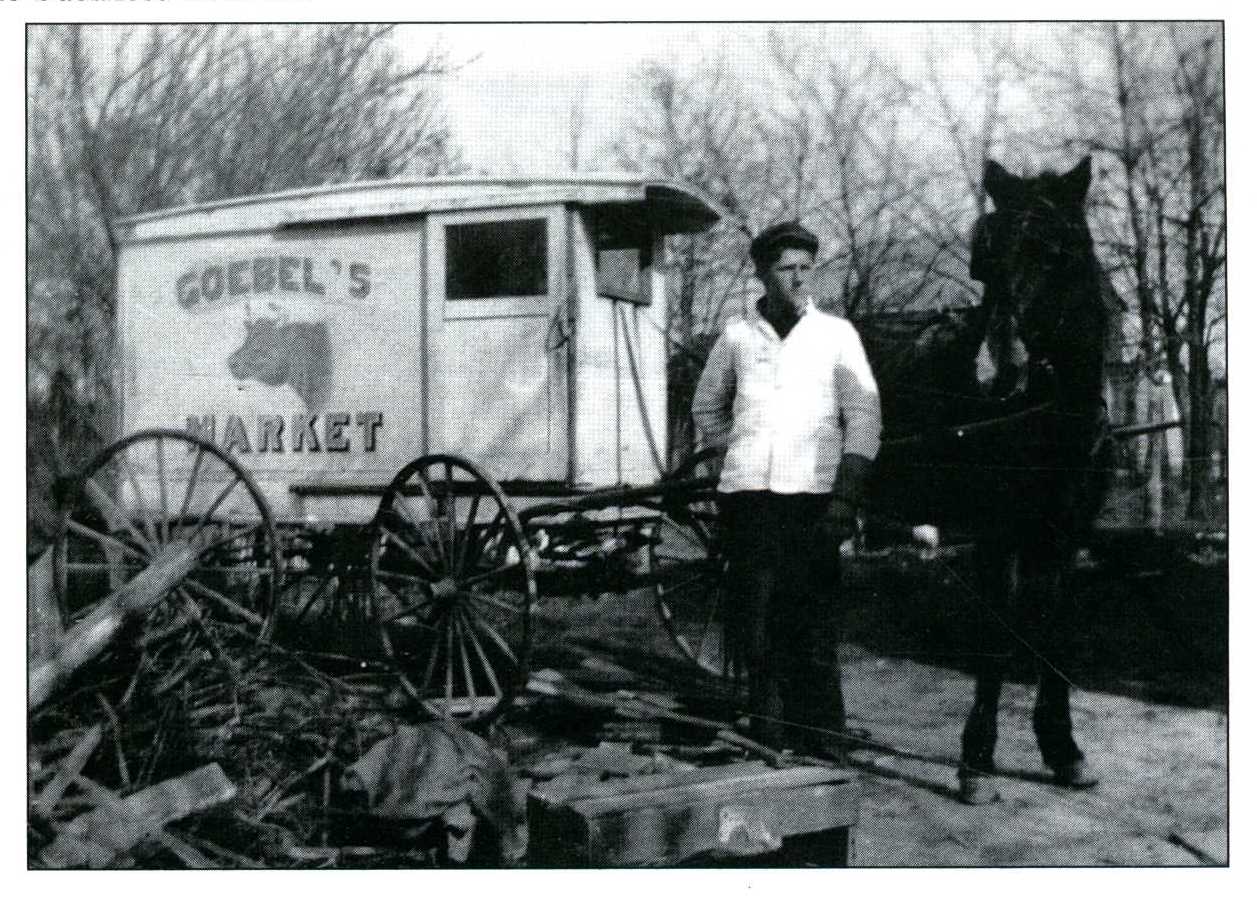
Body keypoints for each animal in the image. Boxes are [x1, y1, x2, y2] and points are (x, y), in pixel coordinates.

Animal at [864, 154, 1121, 799]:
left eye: (1055, 251)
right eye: (984, 257)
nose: (993, 371)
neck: (1049, 417)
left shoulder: (1066, 534)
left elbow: (1054, 631)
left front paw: (1065, 752)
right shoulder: (995, 534)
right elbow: (997, 636)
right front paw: (976, 762)